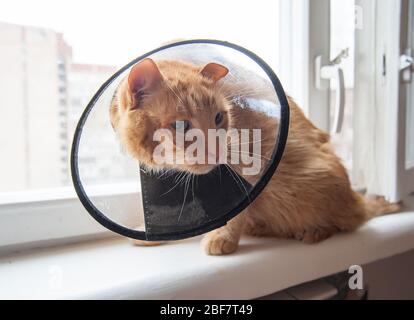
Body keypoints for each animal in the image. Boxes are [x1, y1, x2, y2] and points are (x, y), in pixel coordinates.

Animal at [109, 58, 398, 255]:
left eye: (219, 117)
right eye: (180, 126)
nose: (218, 150)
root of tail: (356, 197)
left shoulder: (248, 174)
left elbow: (235, 214)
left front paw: (223, 237)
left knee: (349, 220)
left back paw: (313, 231)